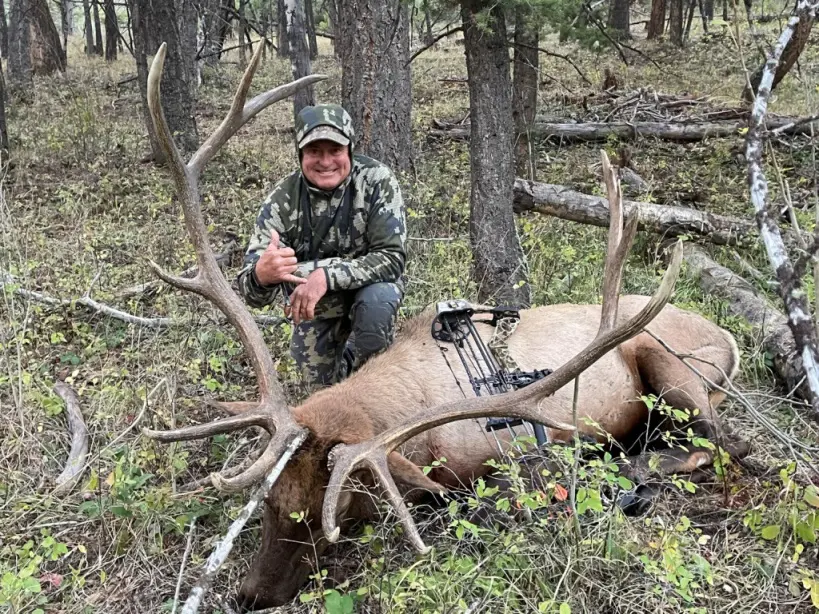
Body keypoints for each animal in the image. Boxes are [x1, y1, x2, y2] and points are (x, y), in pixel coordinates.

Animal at [141, 43, 750, 611]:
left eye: (329, 517)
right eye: (268, 504)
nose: (250, 595)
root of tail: (730, 336)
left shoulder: (504, 457)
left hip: (674, 368)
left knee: (722, 445)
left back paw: (632, 467)